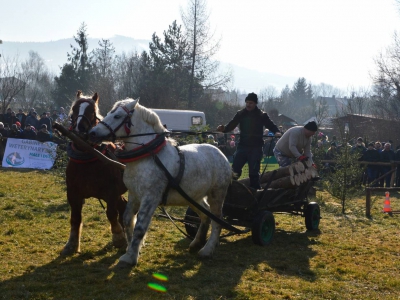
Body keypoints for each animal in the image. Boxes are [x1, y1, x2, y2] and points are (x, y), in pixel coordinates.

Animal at [61, 90, 127, 254]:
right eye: (74, 110)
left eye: (91, 111)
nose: (80, 128)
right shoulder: (73, 193)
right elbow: (75, 218)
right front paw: (71, 244)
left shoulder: (111, 192)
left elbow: (111, 214)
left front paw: (118, 237)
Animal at [87, 99, 231, 268]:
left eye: (117, 116)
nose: (92, 133)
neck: (148, 156)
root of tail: (220, 153)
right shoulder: (134, 195)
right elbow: (128, 219)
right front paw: (130, 249)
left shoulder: (150, 197)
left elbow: (140, 226)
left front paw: (130, 257)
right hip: (193, 197)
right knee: (205, 215)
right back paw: (197, 243)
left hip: (217, 194)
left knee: (217, 220)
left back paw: (208, 249)